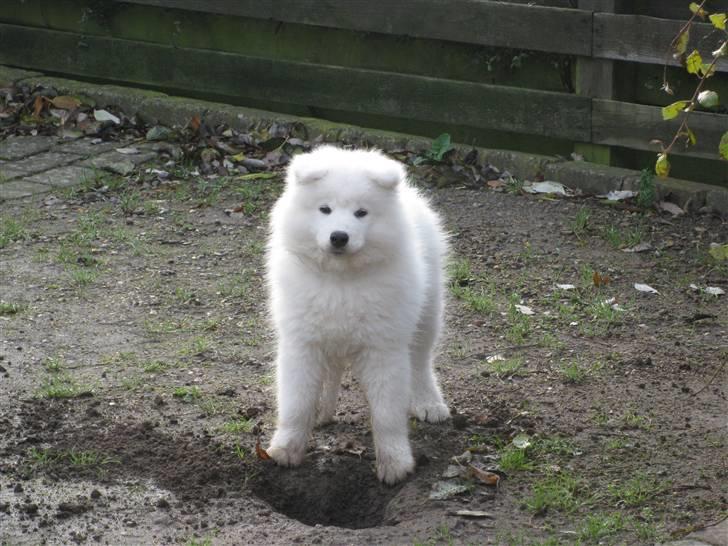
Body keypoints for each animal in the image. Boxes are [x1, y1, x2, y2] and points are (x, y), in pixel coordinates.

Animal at [268, 144, 450, 480]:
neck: (341, 280)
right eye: (324, 209)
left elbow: (387, 414)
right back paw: (322, 411)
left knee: (420, 362)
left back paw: (429, 402)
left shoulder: (383, 349)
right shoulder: (303, 343)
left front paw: (395, 463)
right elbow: (295, 404)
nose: (339, 236)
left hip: (427, 315)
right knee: (330, 372)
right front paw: (285, 449)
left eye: (361, 213)